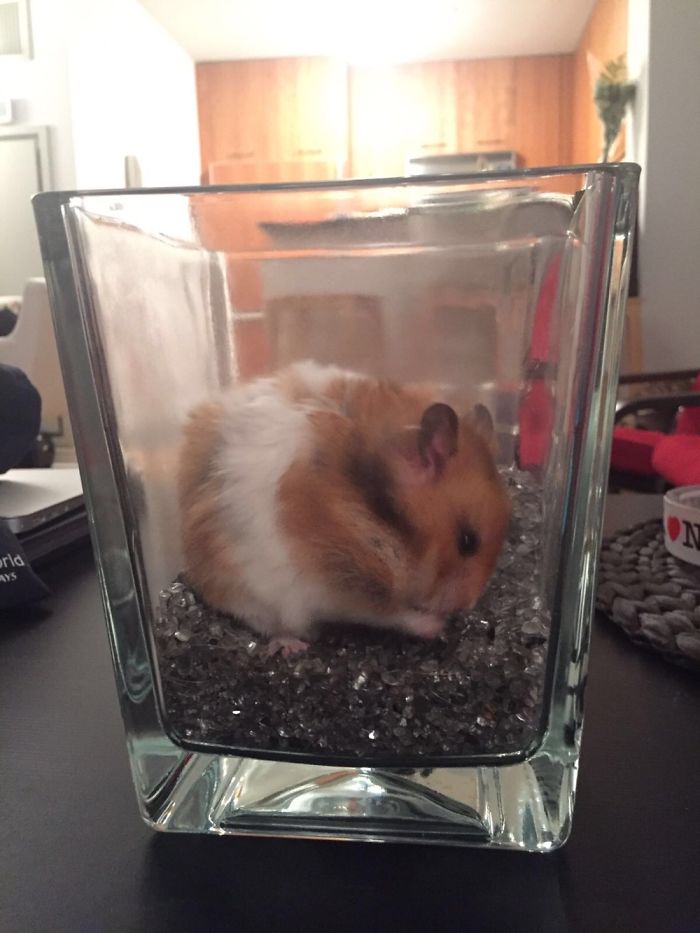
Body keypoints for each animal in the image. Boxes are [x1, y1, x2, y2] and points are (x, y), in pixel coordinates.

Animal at [178, 361, 511, 649]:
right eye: (467, 542)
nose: (469, 605)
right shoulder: (346, 586)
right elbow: (394, 615)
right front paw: (436, 627)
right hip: (247, 591)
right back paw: (292, 646)